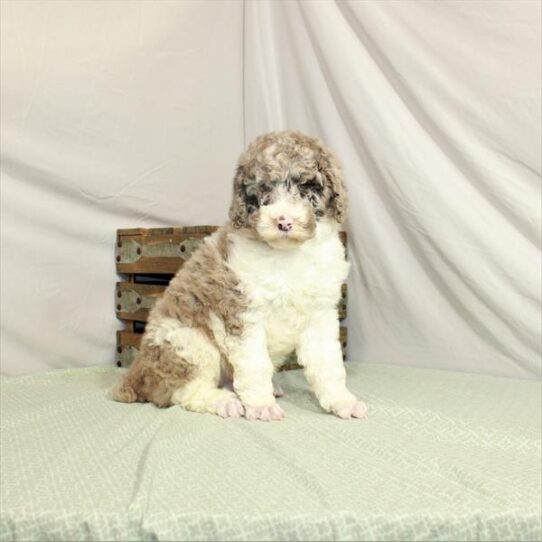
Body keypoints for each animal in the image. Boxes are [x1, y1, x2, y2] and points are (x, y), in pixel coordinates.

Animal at [114, 130, 370, 422]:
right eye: (265, 189)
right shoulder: (242, 313)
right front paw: (261, 406)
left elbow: (329, 364)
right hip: (187, 343)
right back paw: (225, 401)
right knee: (183, 392)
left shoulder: (320, 314)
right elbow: (255, 364)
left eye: (306, 187)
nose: (284, 222)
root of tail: (137, 371)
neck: (288, 255)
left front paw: (343, 401)